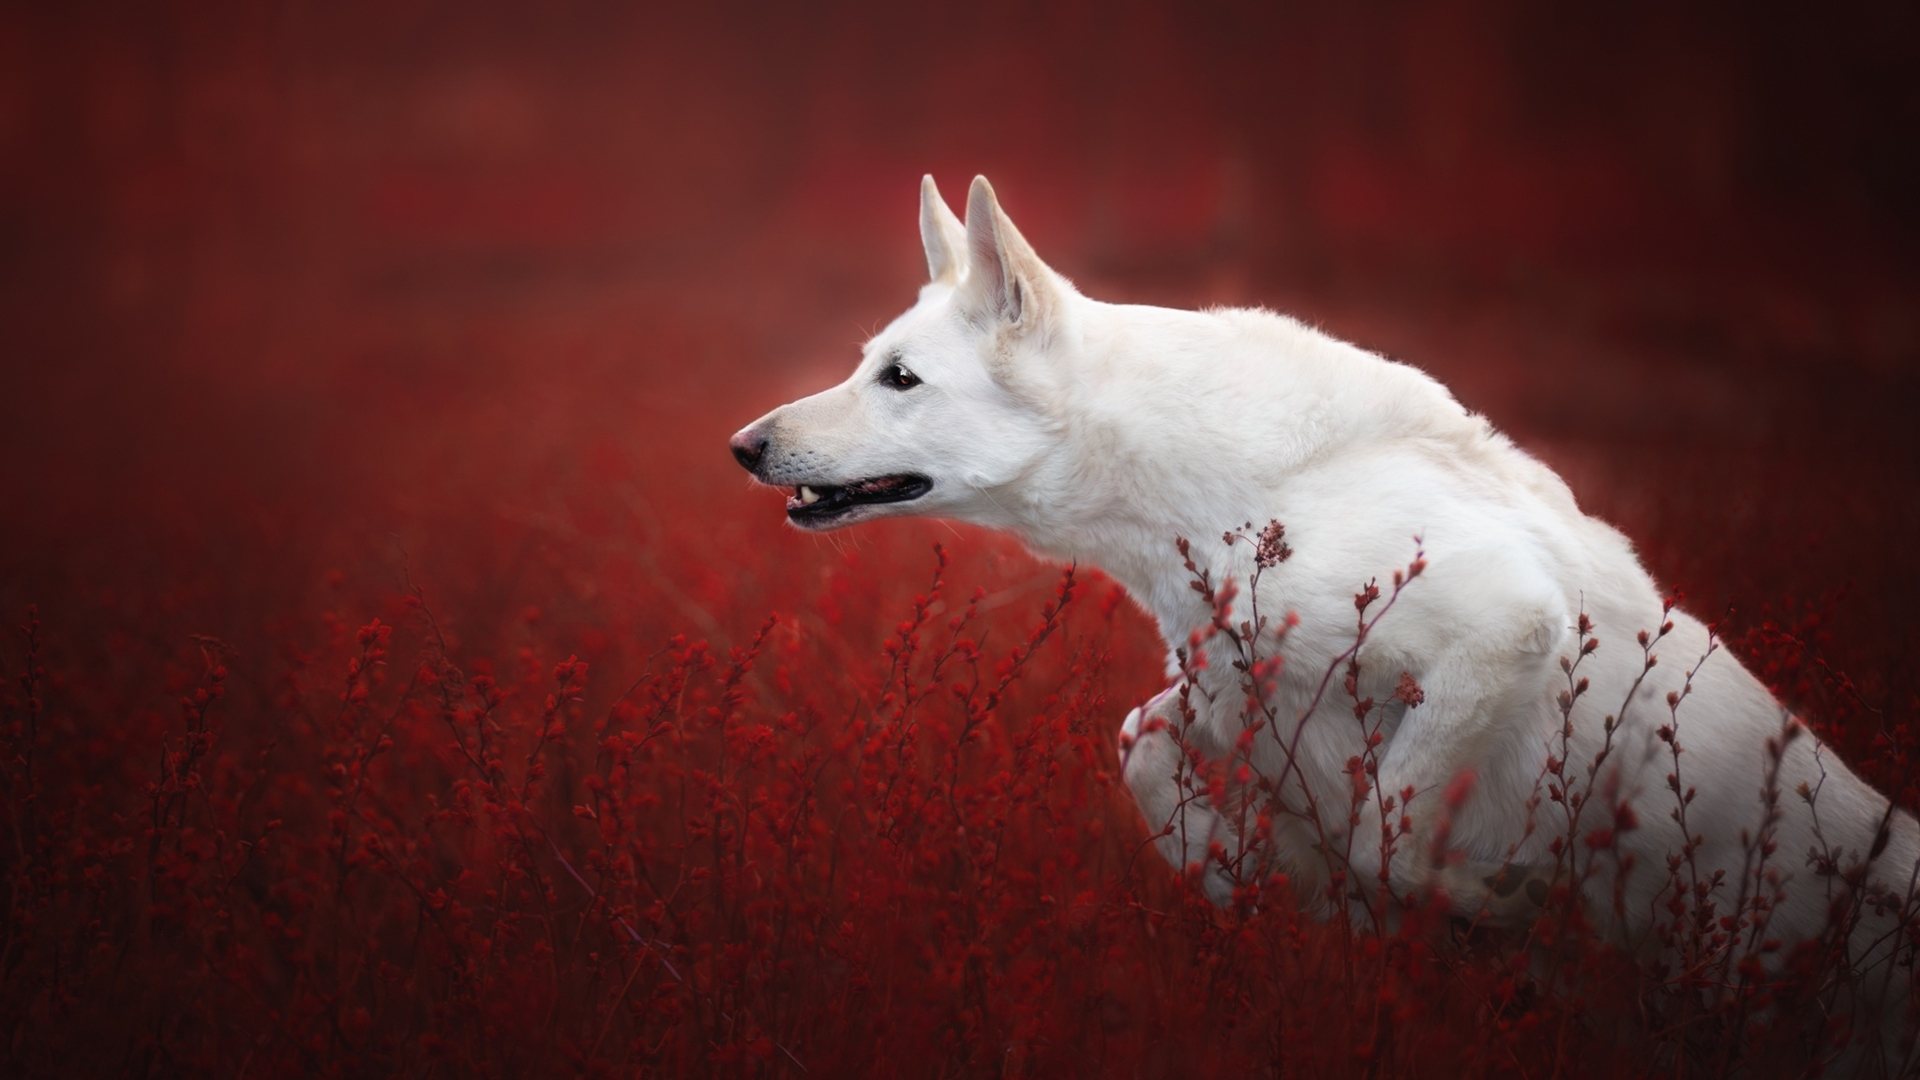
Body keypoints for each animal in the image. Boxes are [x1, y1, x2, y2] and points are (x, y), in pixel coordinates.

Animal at [725, 178, 1912, 1060]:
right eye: (867, 364)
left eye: (900, 378)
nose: (742, 445)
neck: (1227, 487)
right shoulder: (1219, 690)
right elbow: (1142, 746)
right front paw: (1242, 878)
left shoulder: (1507, 621)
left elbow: (1386, 834)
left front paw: (1482, 906)